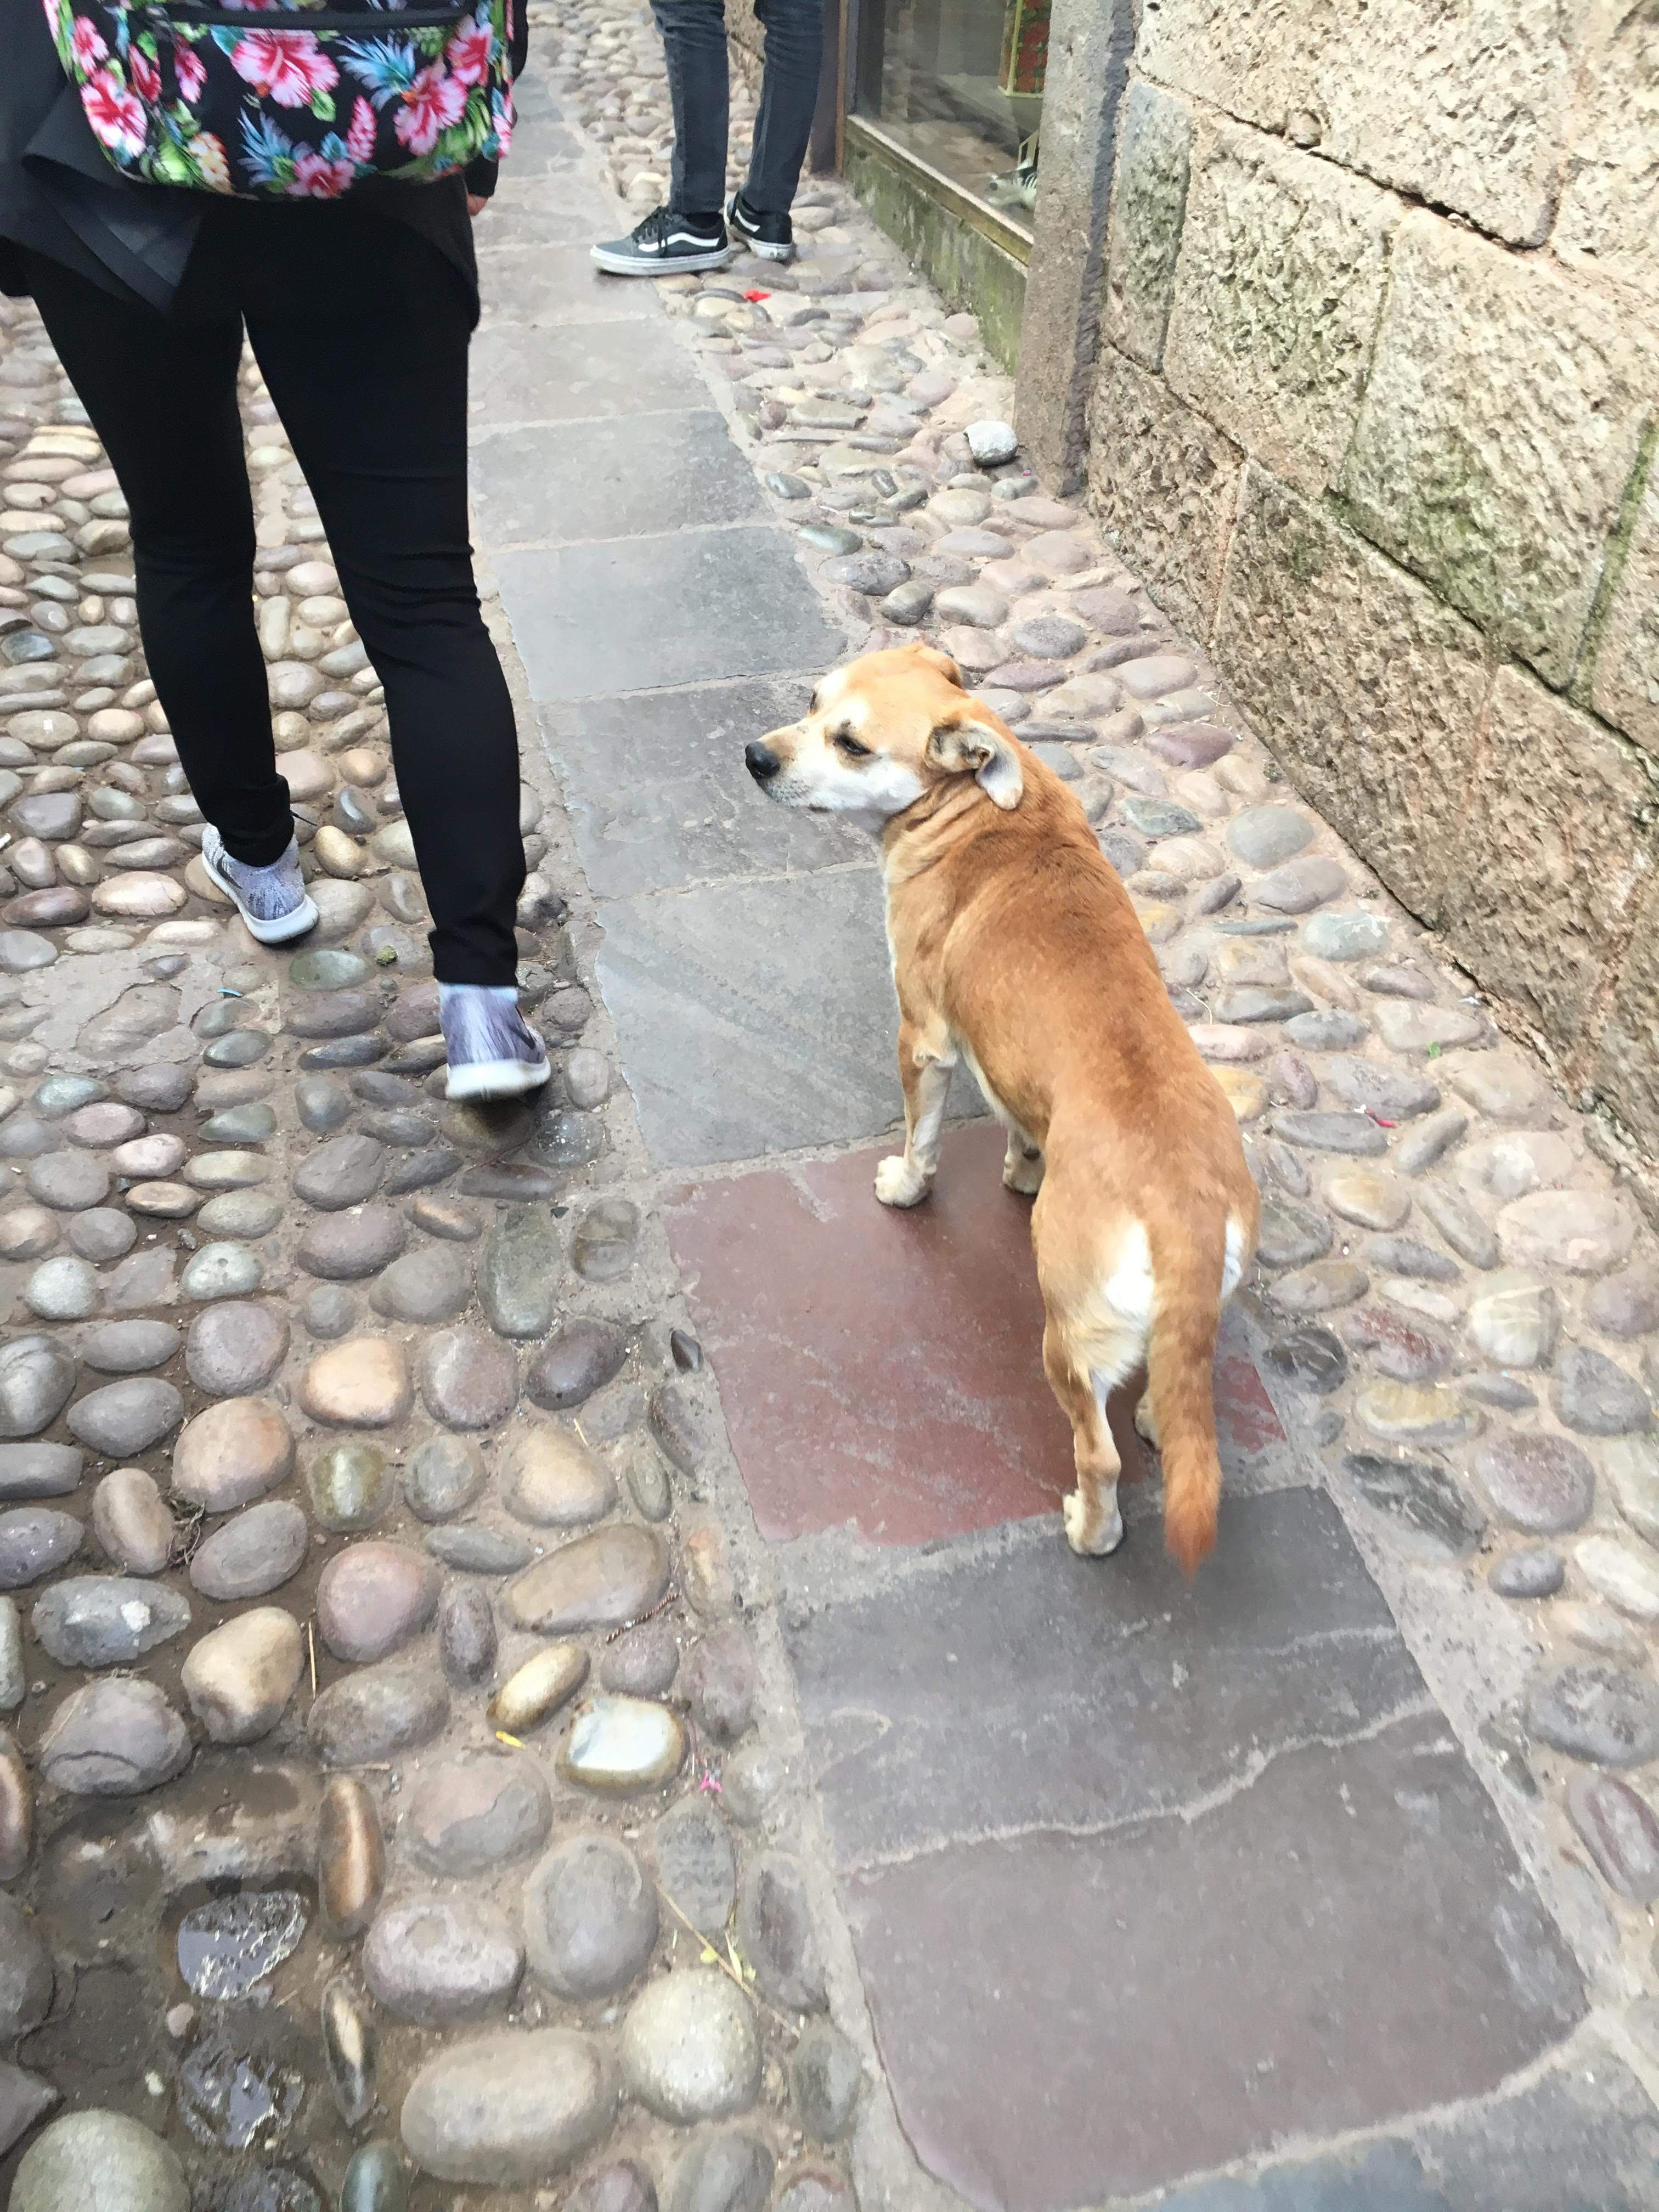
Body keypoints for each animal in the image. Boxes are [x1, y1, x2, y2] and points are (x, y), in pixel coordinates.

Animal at [745, 642, 1259, 1571]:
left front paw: (906, 1186)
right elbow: (1019, 1118)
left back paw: (1091, 1530)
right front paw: (1023, 1165)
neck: (975, 808)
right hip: (1191, 1324)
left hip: (1068, 1335)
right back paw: (1156, 1419)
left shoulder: (924, 1037)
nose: (755, 757)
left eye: (852, 744)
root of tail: (1183, 1215)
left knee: (1098, 1454)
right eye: (811, 701)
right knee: (1174, 1401)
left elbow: (922, 1138)